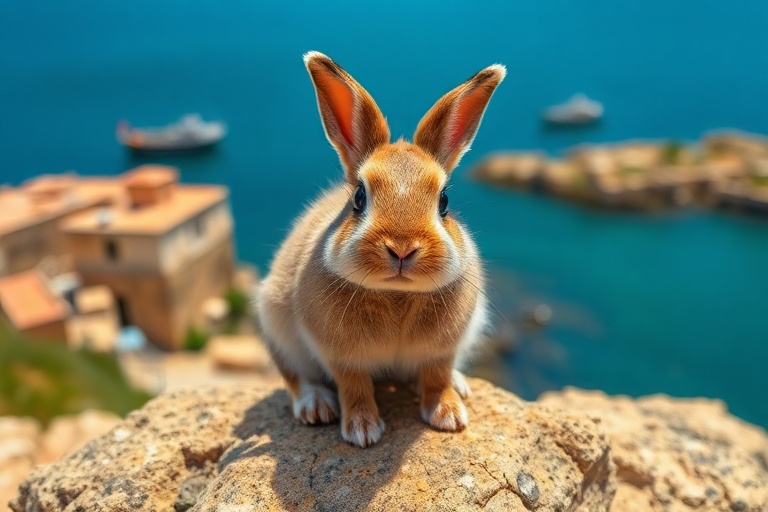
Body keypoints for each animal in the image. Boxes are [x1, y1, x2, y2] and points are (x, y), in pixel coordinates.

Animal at [256, 51, 505, 447]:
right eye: (359, 197)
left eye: (444, 201)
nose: (402, 249)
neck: (396, 294)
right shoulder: (342, 356)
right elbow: (354, 386)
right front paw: (362, 431)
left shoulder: (443, 350)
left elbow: (437, 377)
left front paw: (449, 416)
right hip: (276, 325)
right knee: (297, 378)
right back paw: (316, 406)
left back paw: (461, 386)